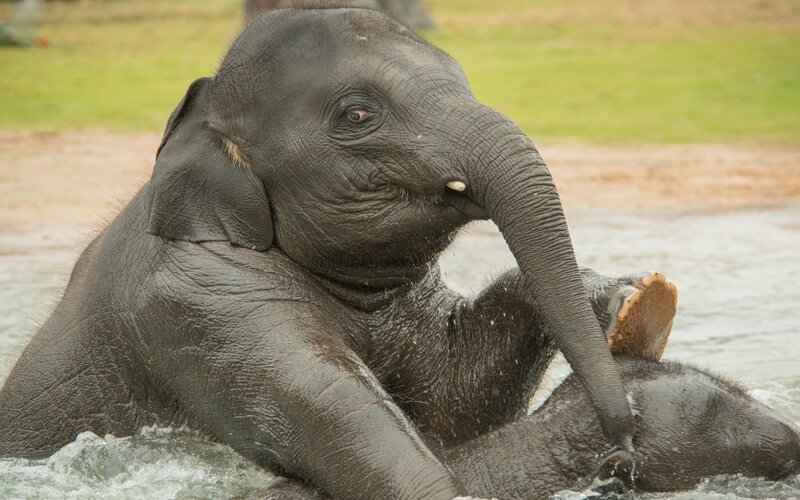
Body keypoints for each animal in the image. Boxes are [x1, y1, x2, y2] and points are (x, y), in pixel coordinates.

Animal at [1, 6, 683, 499]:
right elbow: (382, 446)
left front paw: (628, 300)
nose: (622, 444)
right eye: (358, 114)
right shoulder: (203, 308)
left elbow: (455, 403)